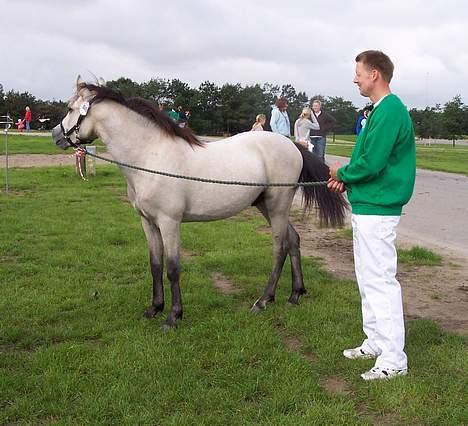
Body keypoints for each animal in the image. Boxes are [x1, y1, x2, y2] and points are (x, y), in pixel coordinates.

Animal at [54, 76, 348, 330]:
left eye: (70, 109)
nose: (56, 135)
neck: (151, 156)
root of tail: (291, 145)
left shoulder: (170, 223)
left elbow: (173, 268)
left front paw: (173, 317)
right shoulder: (148, 222)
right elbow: (155, 264)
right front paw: (154, 308)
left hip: (277, 207)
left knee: (280, 247)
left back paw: (263, 300)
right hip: (267, 206)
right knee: (294, 240)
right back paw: (295, 295)